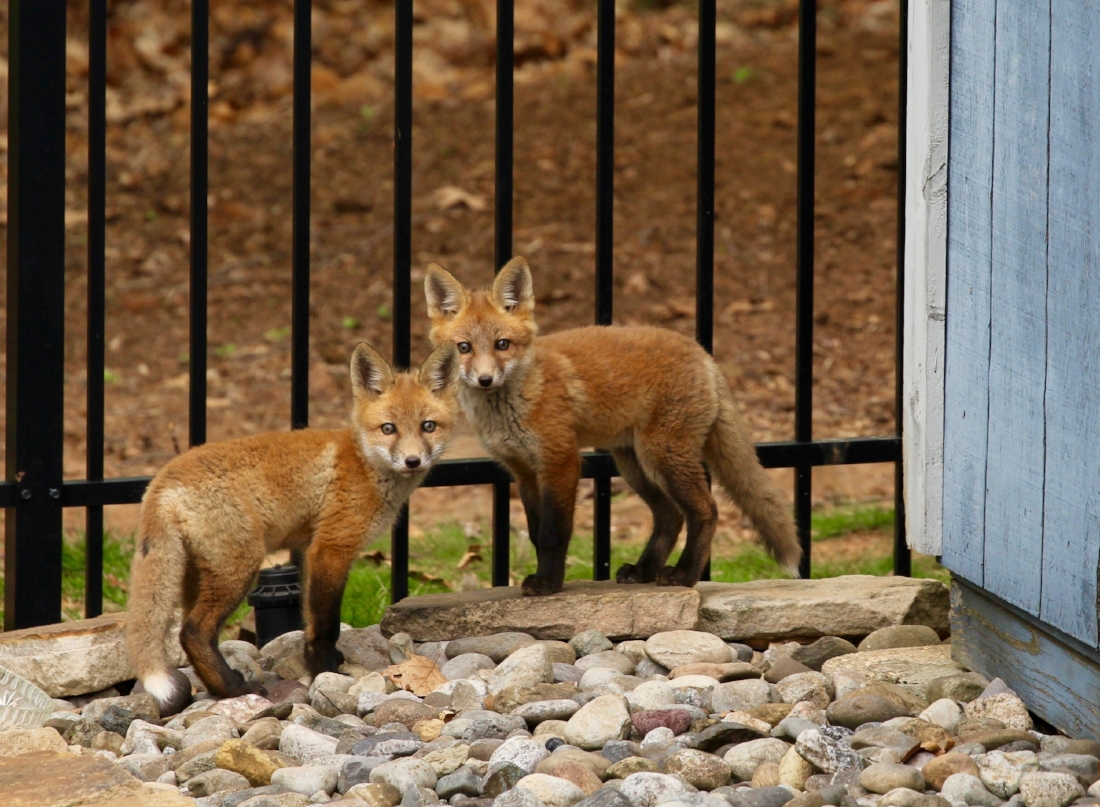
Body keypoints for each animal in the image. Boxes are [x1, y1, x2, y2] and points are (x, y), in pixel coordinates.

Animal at [125, 340, 459, 712]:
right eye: (389, 429)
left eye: (428, 426)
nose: (413, 461)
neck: (365, 463)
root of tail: (161, 479)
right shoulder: (332, 547)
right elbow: (326, 625)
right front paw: (324, 671)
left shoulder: (308, 550)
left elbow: (309, 623)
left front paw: (317, 664)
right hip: (239, 567)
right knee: (194, 632)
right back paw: (234, 689)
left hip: (197, 573)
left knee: (187, 632)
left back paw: (216, 687)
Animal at [422, 256, 800, 598]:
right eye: (464, 347)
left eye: (502, 344)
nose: (485, 379)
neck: (516, 402)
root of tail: (703, 354)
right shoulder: (523, 470)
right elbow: (534, 531)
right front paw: (546, 576)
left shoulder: (560, 460)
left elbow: (552, 533)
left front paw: (549, 583)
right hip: (633, 464)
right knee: (669, 516)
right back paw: (644, 570)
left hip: (662, 456)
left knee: (706, 510)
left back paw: (684, 574)